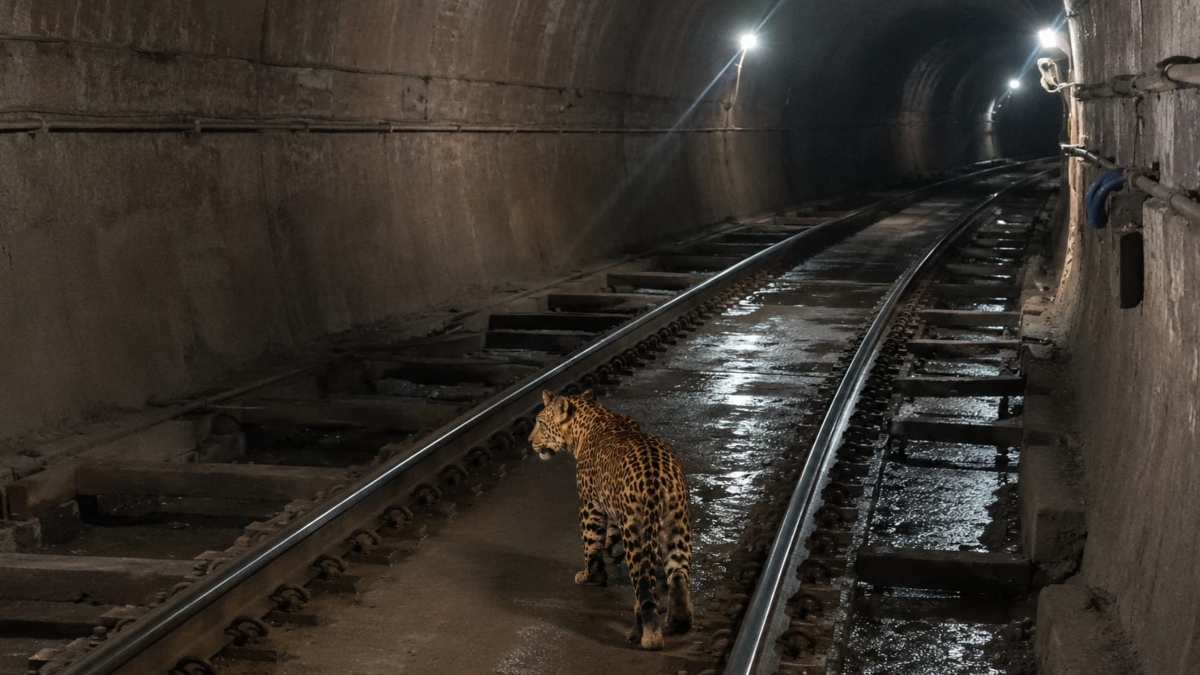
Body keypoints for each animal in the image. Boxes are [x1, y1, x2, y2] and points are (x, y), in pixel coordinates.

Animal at [528, 388, 693, 650]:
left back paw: (646, 634)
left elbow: (591, 546)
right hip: (677, 524)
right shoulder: (612, 504)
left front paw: (591, 577)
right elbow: (608, 536)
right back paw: (679, 620)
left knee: (644, 589)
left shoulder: (590, 505)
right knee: (678, 575)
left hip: (636, 532)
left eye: (541, 424)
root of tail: (656, 478)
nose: (529, 441)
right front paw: (606, 553)